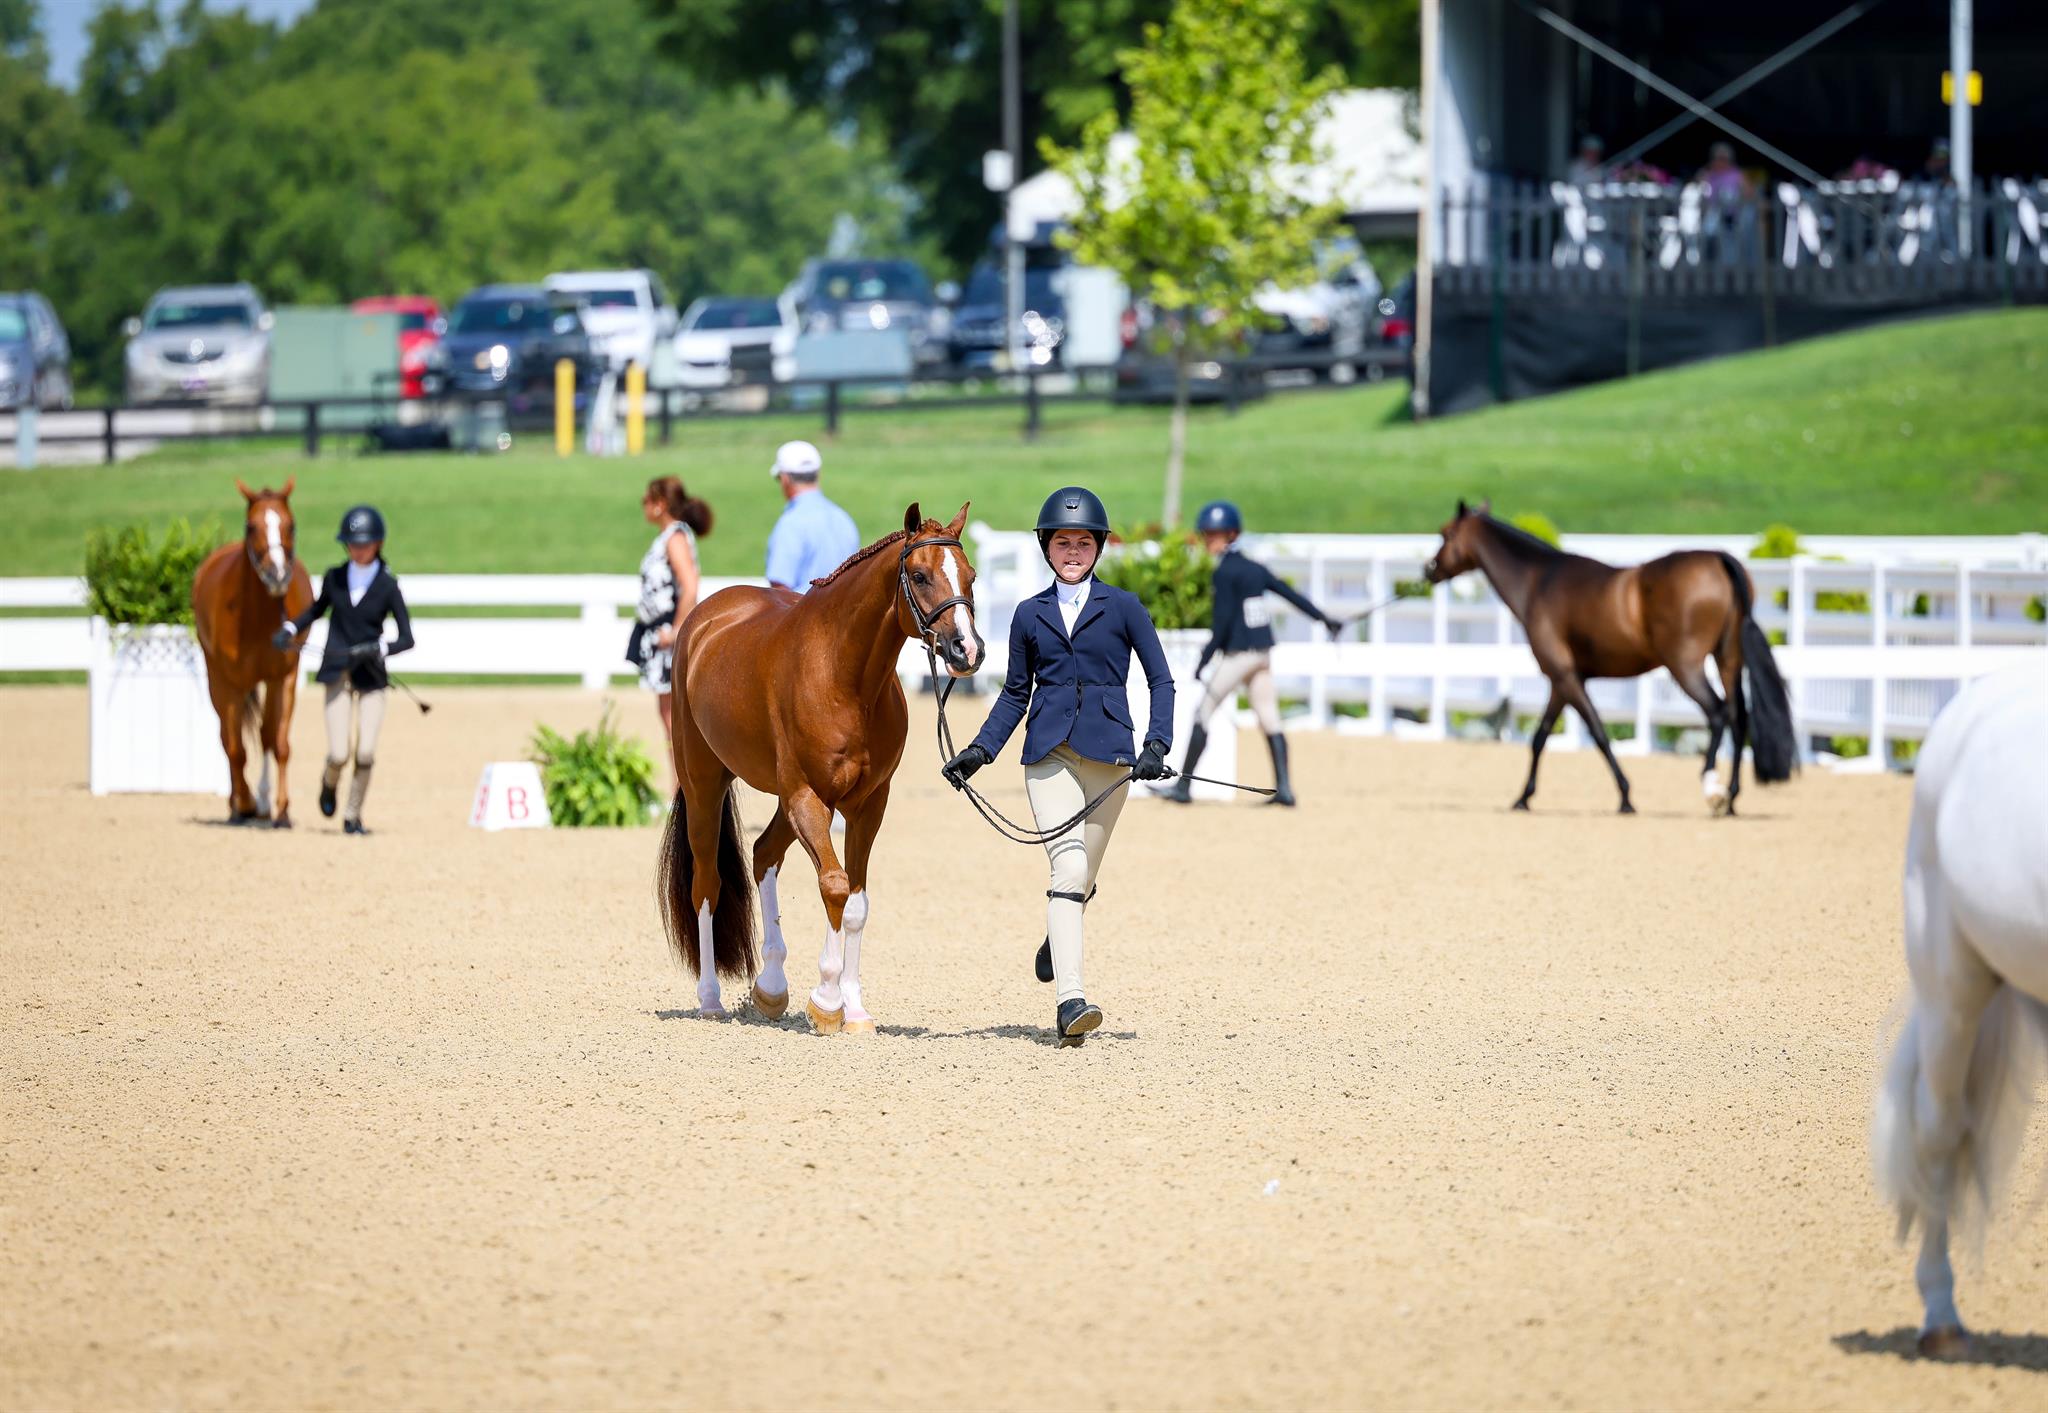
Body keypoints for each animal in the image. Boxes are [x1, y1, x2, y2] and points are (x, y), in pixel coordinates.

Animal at [191, 479, 314, 826]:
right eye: (251, 526)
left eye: (291, 524)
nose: (277, 575)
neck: (258, 616)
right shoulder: (231, 683)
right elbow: (236, 748)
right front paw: (242, 804)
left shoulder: (283, 677)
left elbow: (277, 742)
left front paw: (281, 809)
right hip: (217, 680)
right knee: (227, 738)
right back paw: (239, 804)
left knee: (263, 735)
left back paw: (261, 802)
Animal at [656, 503, 983, 1032]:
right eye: (919, 575)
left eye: (970, 576)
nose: (967, 651)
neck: (844, 677)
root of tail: (703, 619)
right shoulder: (808, 795)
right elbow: (833, 885)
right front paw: (827, 1001)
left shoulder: (867, 804)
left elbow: (856, 902)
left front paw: (854, 1009)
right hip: (708, 784)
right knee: (706, 884)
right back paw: (710, 1000)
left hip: (793, 803)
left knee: (764, 853)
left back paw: (770, 987)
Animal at [1423, 499, 1798, 815]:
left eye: (1446, 533)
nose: (1429, 569)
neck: (1539, 582)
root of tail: (1719, 560)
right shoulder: (1562, 682)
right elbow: (1540, 737)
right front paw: (1523, 797)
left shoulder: (1565, 677)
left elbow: (1598, 733)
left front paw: (1626, 797)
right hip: (1728, 660)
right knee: (1738, 718)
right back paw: (1731, 799)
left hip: (1685, 666)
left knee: (1718, 713)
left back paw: (1711, 788)